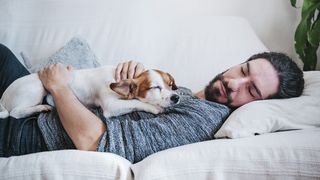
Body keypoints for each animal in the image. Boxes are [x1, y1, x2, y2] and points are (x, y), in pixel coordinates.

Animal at [0, 65, 180, 119]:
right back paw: (40, 108)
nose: (176, 97)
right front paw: (155, 108)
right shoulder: (111, 106)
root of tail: (3, 96)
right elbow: (136, 101)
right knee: (15, 113)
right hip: (37, 88)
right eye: (155, 87)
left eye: (171, 85)